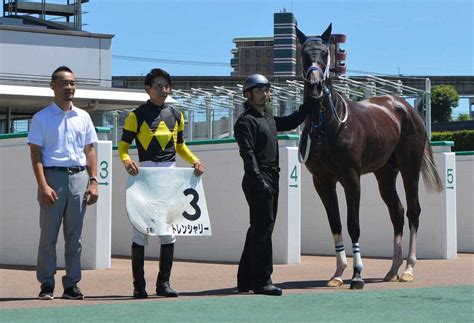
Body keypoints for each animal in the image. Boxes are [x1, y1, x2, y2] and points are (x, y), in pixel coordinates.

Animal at [298, 23, 442, 292]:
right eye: (304, 54)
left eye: (324, 53)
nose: (315, 86)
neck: (329, 126)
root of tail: (404, 107)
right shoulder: (322, 181)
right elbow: (335, 223)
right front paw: (338, 273)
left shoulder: (351, 178)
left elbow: (353, 224)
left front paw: (357, 275)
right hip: (385, 174)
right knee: (397, 212)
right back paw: (393, 269)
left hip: (410, 168)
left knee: (413, 211)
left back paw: (408, 269)